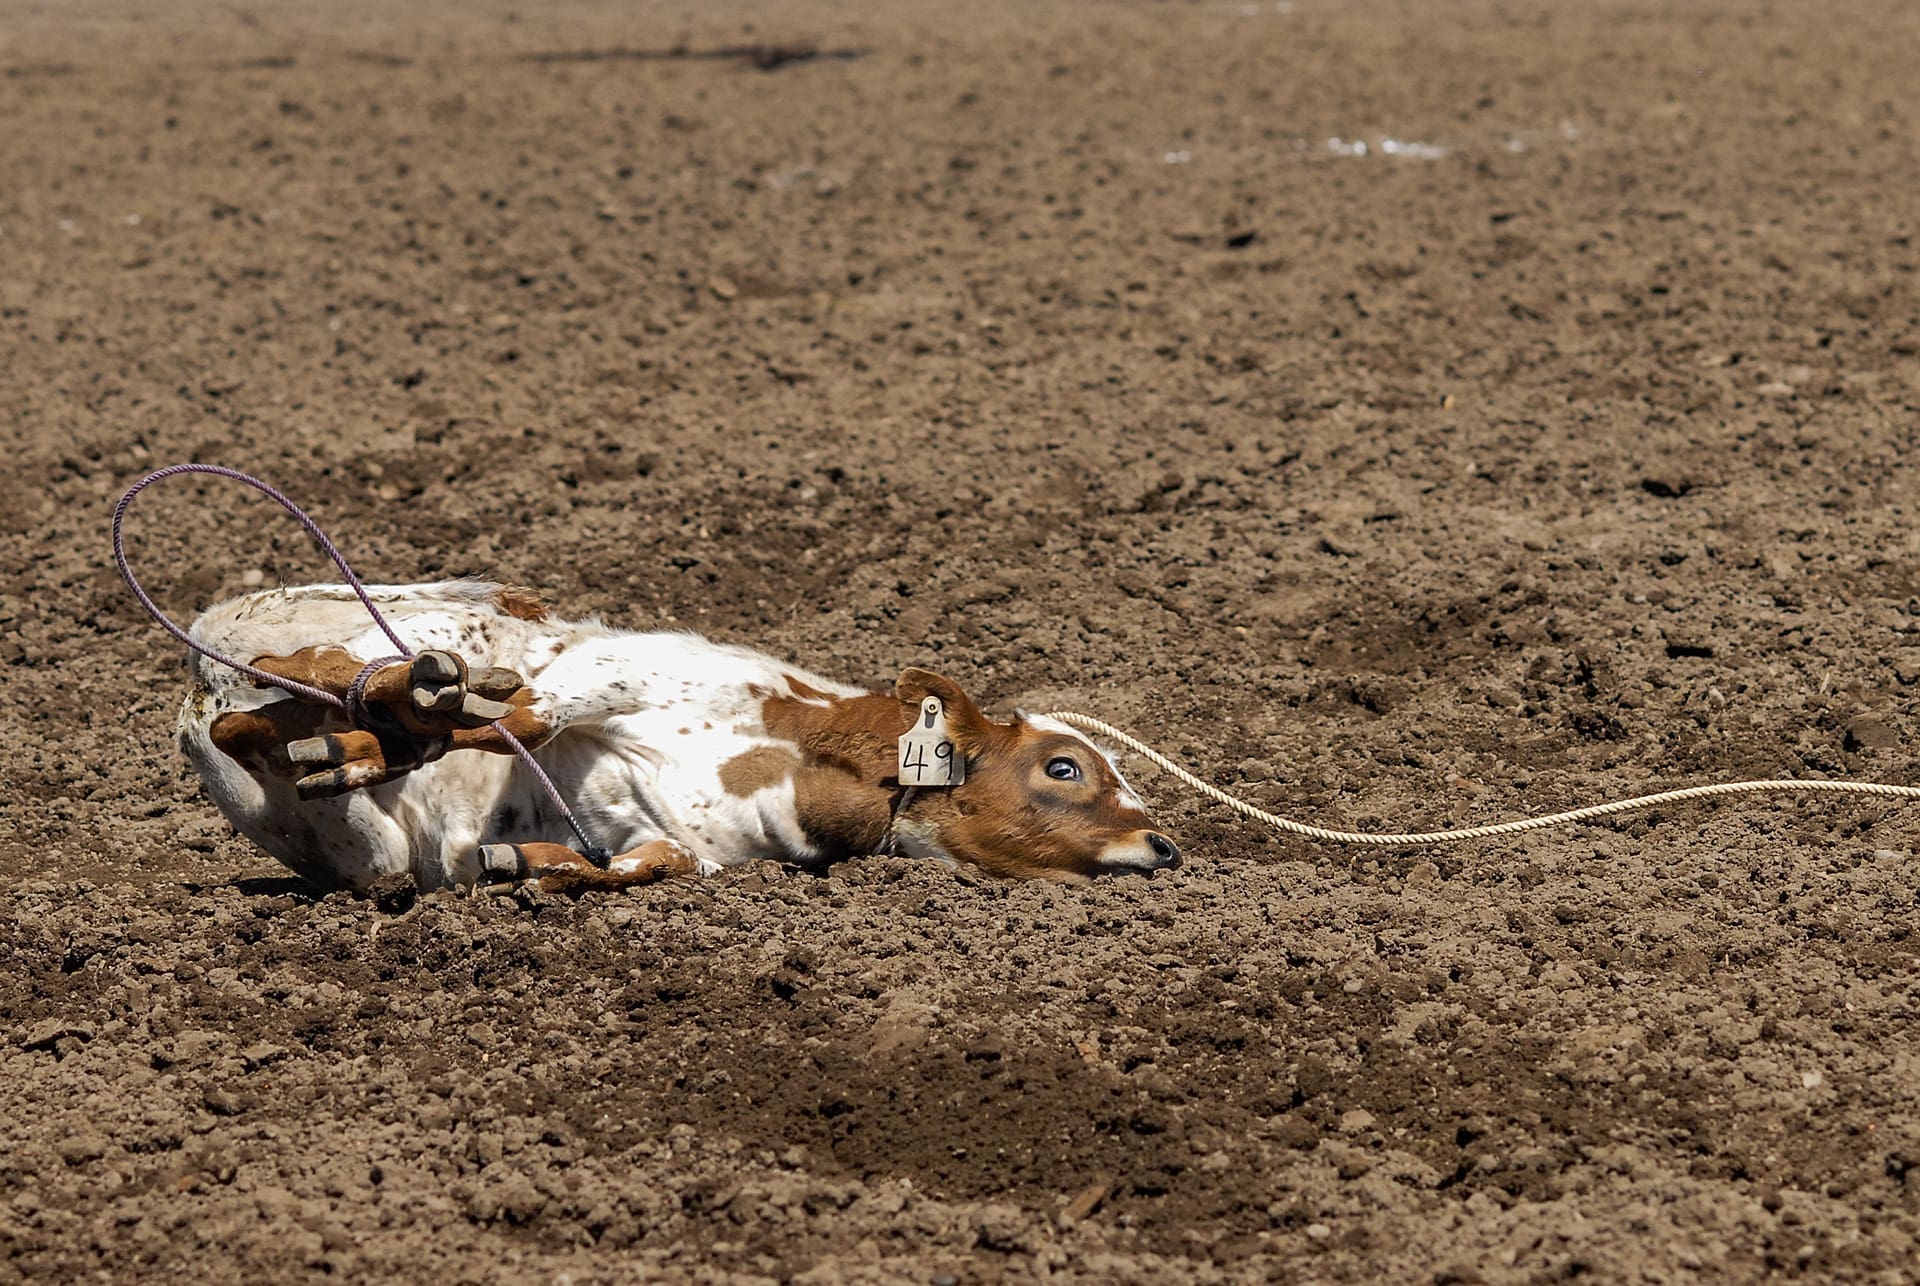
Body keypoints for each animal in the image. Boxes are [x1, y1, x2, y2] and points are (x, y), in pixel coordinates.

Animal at [180, 583, 1175, 898]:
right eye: (1063, 767)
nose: (1164, 844)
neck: (801, 756)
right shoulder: (615, 668)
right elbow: (524, 717)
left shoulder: (677, 839)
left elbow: (645, 864)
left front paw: (532, 864)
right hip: (388, 635)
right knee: (305, 676)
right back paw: (380, 716)